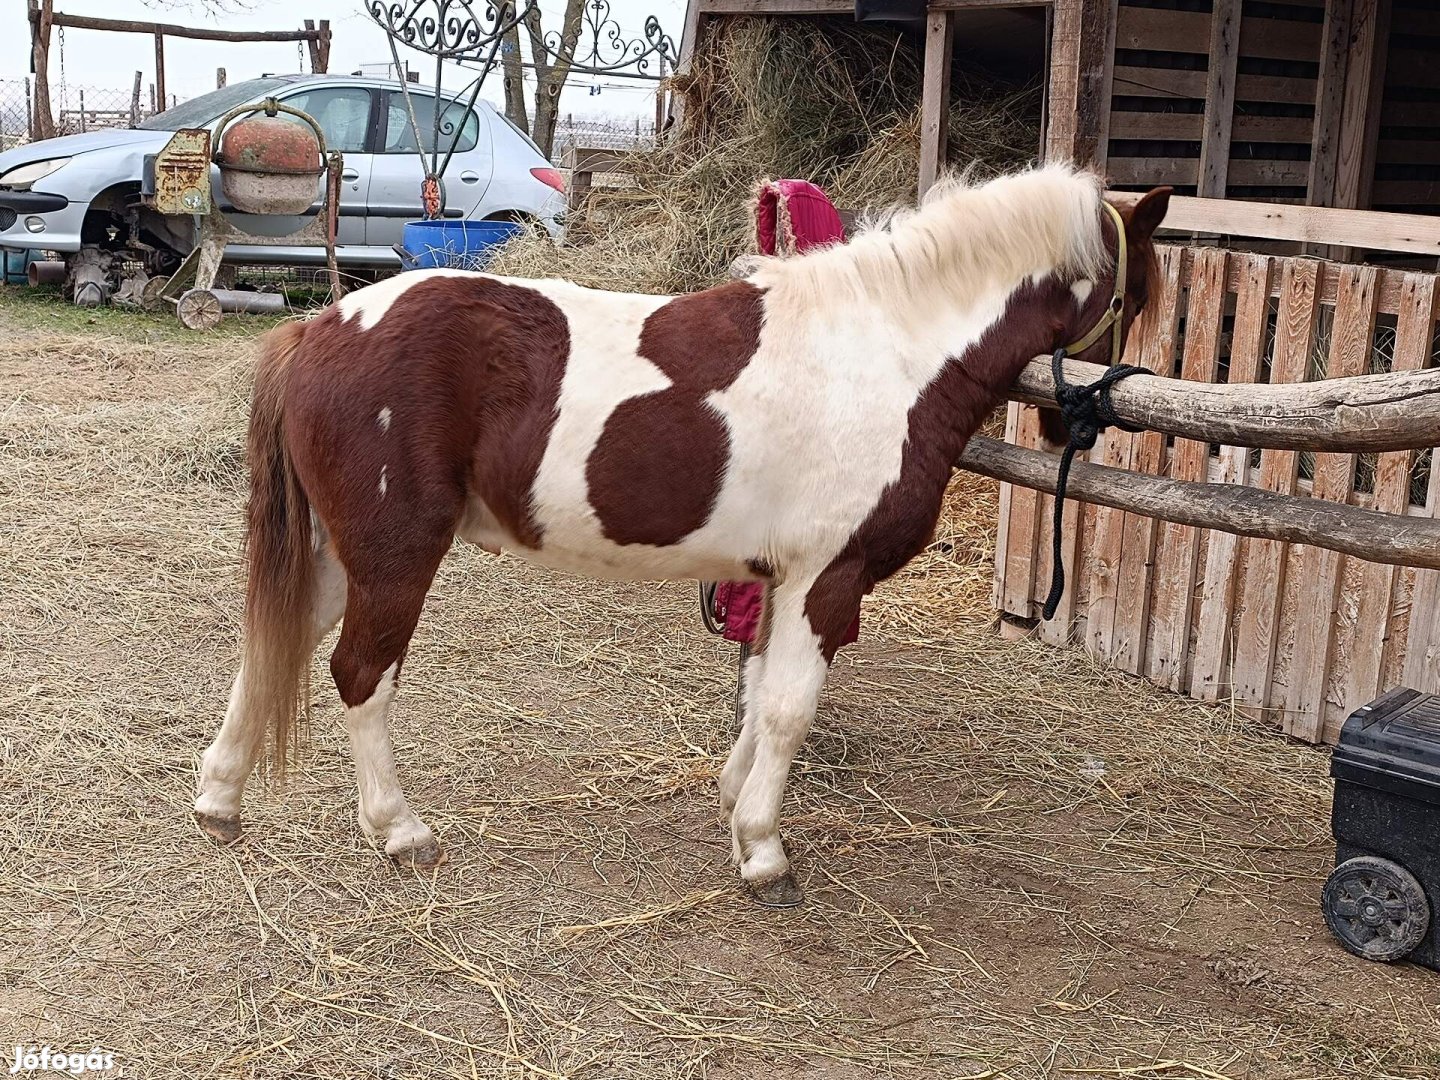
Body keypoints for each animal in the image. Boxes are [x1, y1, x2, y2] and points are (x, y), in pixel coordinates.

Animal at [194, 164, 1169, 910]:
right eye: (1135, 298)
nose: (1091, 425)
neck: (884, 352)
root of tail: (317, 326)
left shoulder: (779, 579)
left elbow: (760, 693)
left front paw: (736, 802)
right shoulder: (827, 576)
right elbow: (790, 708)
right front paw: (765, 852)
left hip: (336, 551)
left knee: (273, 644)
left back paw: (218, 800)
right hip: (394, 556)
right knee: (360, 673)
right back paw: (400, 831)